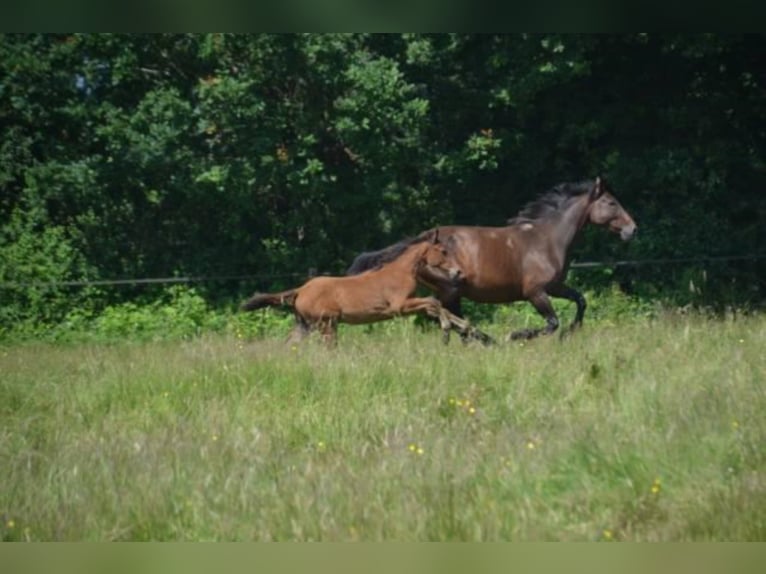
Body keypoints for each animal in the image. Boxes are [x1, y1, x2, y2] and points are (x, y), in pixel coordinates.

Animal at [243, 230, 484, 346]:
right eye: (443, 251)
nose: (459, 272)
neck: (400, 272)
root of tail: (300, 290)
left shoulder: (409, 306)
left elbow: (436, 307)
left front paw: (464, 327)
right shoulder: (399, 307)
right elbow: (434, 303)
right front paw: (447, 331)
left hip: (305, 326)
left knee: (289, 344)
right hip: (326, 325)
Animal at [348, 178, 636, 342]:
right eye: (611, 203)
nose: (632, 229)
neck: (547, 239)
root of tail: (424, 239)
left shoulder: (555, 286)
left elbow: (580, 300)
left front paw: (571, 332)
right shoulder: (535, 292)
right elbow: (552, 323)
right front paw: (515, 336)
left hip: (450, 293)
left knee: (446, 319)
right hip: (451, 290)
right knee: (450, 319)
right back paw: (488, 341)